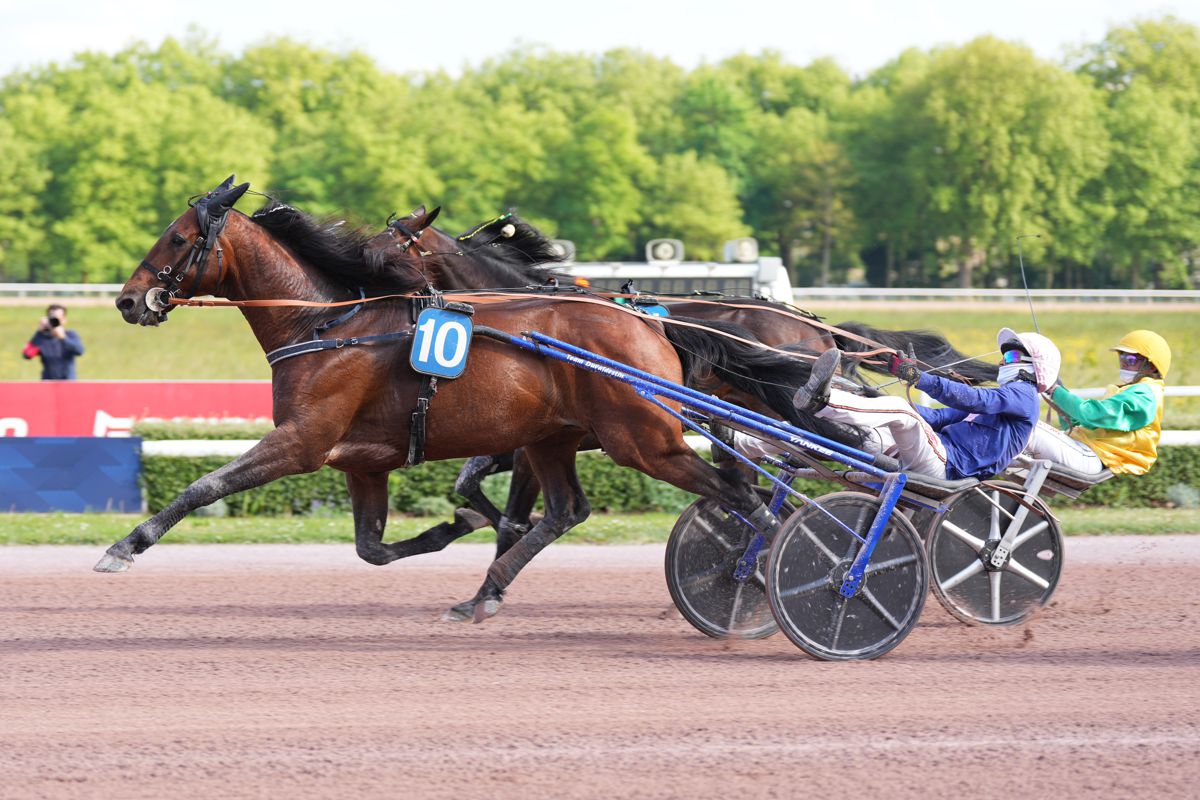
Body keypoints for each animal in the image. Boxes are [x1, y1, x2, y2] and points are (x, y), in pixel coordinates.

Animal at [102, 177, 860, 624]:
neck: (328, 326)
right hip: (562, 437)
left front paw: (125, 546)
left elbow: (205, 485)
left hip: (643, 439)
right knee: (574, 509)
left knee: (745, 495)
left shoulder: (303, 441)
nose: (128, 300)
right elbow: (374, 548)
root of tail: (650, 326)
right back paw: (482, 594)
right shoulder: (364, 459)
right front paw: (451, 530)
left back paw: (781, 571)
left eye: (176, 238)